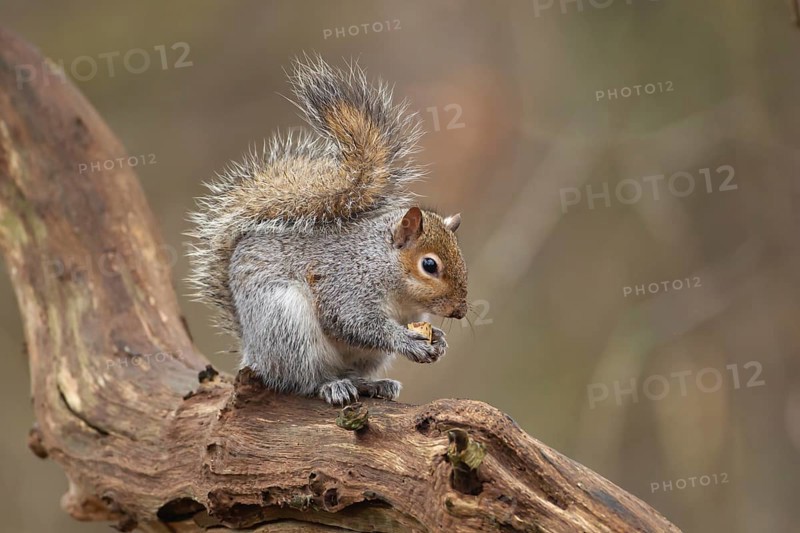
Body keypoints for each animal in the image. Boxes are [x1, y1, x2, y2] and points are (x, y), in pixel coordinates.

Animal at [188, 56, 468, 405]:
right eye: (429, 265)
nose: (460, 311)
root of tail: (252, 352)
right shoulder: (345, 286)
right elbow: (355, 323)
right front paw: (407, 341)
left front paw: (439, 339)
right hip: (287, 326)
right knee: (301, 379)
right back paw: (330, 385)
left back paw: (372, 384)